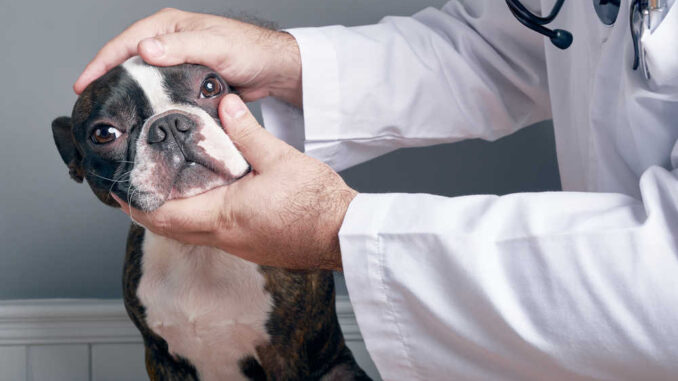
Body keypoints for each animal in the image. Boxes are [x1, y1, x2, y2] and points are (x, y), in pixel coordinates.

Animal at [51, 57, 372, 380]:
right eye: (104, 134)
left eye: (210, 86)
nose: (169, 125)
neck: (198, 250)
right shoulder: (160, 358)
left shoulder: (286, 357)